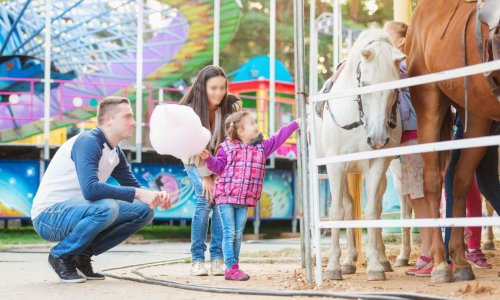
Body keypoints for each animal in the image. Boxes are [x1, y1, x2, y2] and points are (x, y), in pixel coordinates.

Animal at [316, 29, 406, 280]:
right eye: (364, 84)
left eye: (395, 89)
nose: (378, 138)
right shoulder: (335, 166)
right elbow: (336, 212)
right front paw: (333, 267)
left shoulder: (377, 165)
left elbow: (371, 211)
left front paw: (375, 265)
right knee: (347, 208)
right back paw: (347, 261)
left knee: (370, 206)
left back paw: (380, 260)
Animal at [406, 0, 500, 282]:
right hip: (429, 103)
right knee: (433, 182)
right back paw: (439, 263)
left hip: (477, 114)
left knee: (460, 181)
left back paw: (459, 261)